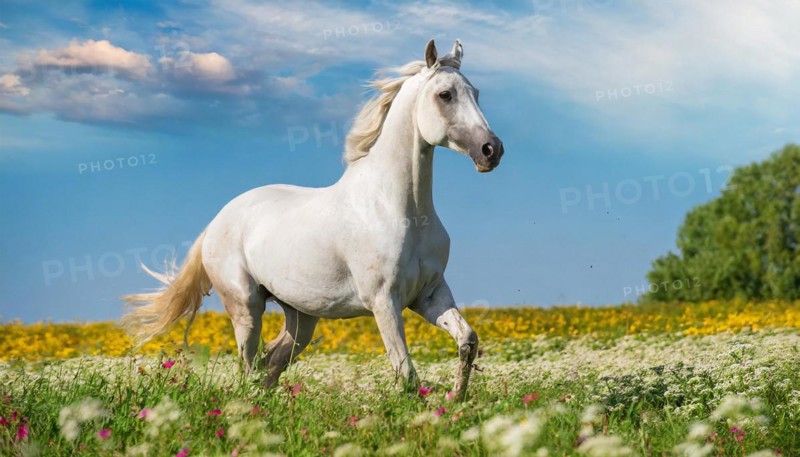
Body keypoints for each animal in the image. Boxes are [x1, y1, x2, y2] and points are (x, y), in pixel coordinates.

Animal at [122, 39, 504, 401]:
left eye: (476, 94)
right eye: (445, 95)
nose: (492, 151)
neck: (399, 211)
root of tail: (217, 221)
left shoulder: (429, 295)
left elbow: (468, 340)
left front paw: (456, 399)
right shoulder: (384, 302)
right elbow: (406, 372)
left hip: (301, 316)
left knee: (271, 363)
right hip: (246, 308)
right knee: (249, 366)